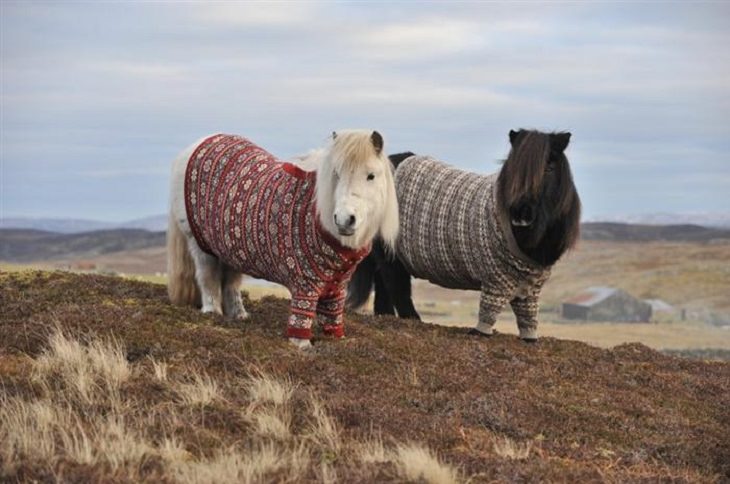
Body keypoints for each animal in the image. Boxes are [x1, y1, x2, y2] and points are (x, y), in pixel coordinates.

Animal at [167, 130, 396, 346]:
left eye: (371, 176)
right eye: (336, 174)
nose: (344, 219)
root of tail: (197, 145)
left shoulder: (337, 286)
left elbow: (332, 317)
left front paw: (335, 340)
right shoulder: (305, 283)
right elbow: (301, 317)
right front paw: (302, 345)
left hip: (229, 249)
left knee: (231, 283)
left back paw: (239, 316)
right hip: (200, 245)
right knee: (208, 278)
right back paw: (212, 313)